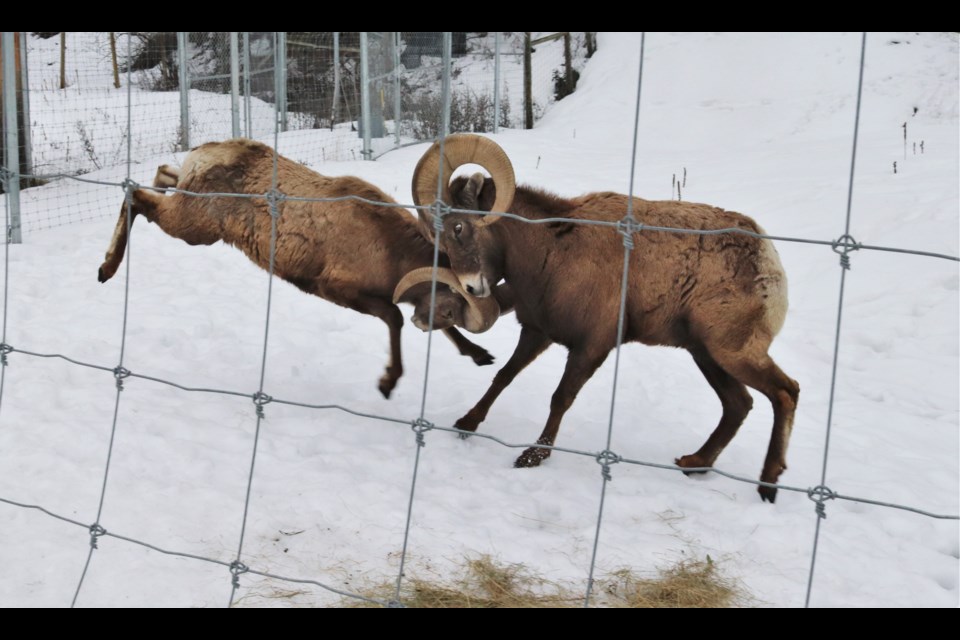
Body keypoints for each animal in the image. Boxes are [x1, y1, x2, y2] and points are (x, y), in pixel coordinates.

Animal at [96, 138, 502, 398]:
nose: (478, 286)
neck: (391, 249)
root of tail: (205, 153)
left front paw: (481, 356)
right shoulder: (338, 289)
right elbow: (395, 318)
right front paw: (388, 383)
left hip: (187, 205)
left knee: (162, 176)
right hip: (193, 227)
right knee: (136, 195)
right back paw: (106, 270)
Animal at [416, 136, 800, 504]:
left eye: (459, 227)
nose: (470, 287)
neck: (553, 252)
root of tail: (769, 261)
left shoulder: (591, 347)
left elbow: (560, 398)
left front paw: (533, 456)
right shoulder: (538, 333)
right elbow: (503, 376)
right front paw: (467, 423)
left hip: (731, 352)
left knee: (785, 392)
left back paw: (768, 485)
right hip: (705, 354)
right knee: (739, 404)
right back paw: (694, 463)